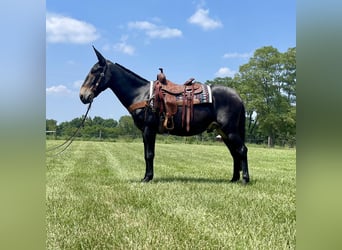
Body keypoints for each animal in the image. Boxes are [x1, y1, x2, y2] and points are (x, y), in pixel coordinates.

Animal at [81, 47, 251, 184]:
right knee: (234, 153)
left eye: (95, 71)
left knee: (242, 150)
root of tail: (237, 96)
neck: (141, 94)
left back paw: (244, 179)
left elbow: (149, 154)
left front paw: (148, 178)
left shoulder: (149, 130)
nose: (83, 96)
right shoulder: (145, 132)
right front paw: (146, 176)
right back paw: (233, 179)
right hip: (223, 132)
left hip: (230, 130)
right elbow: (146, 154)